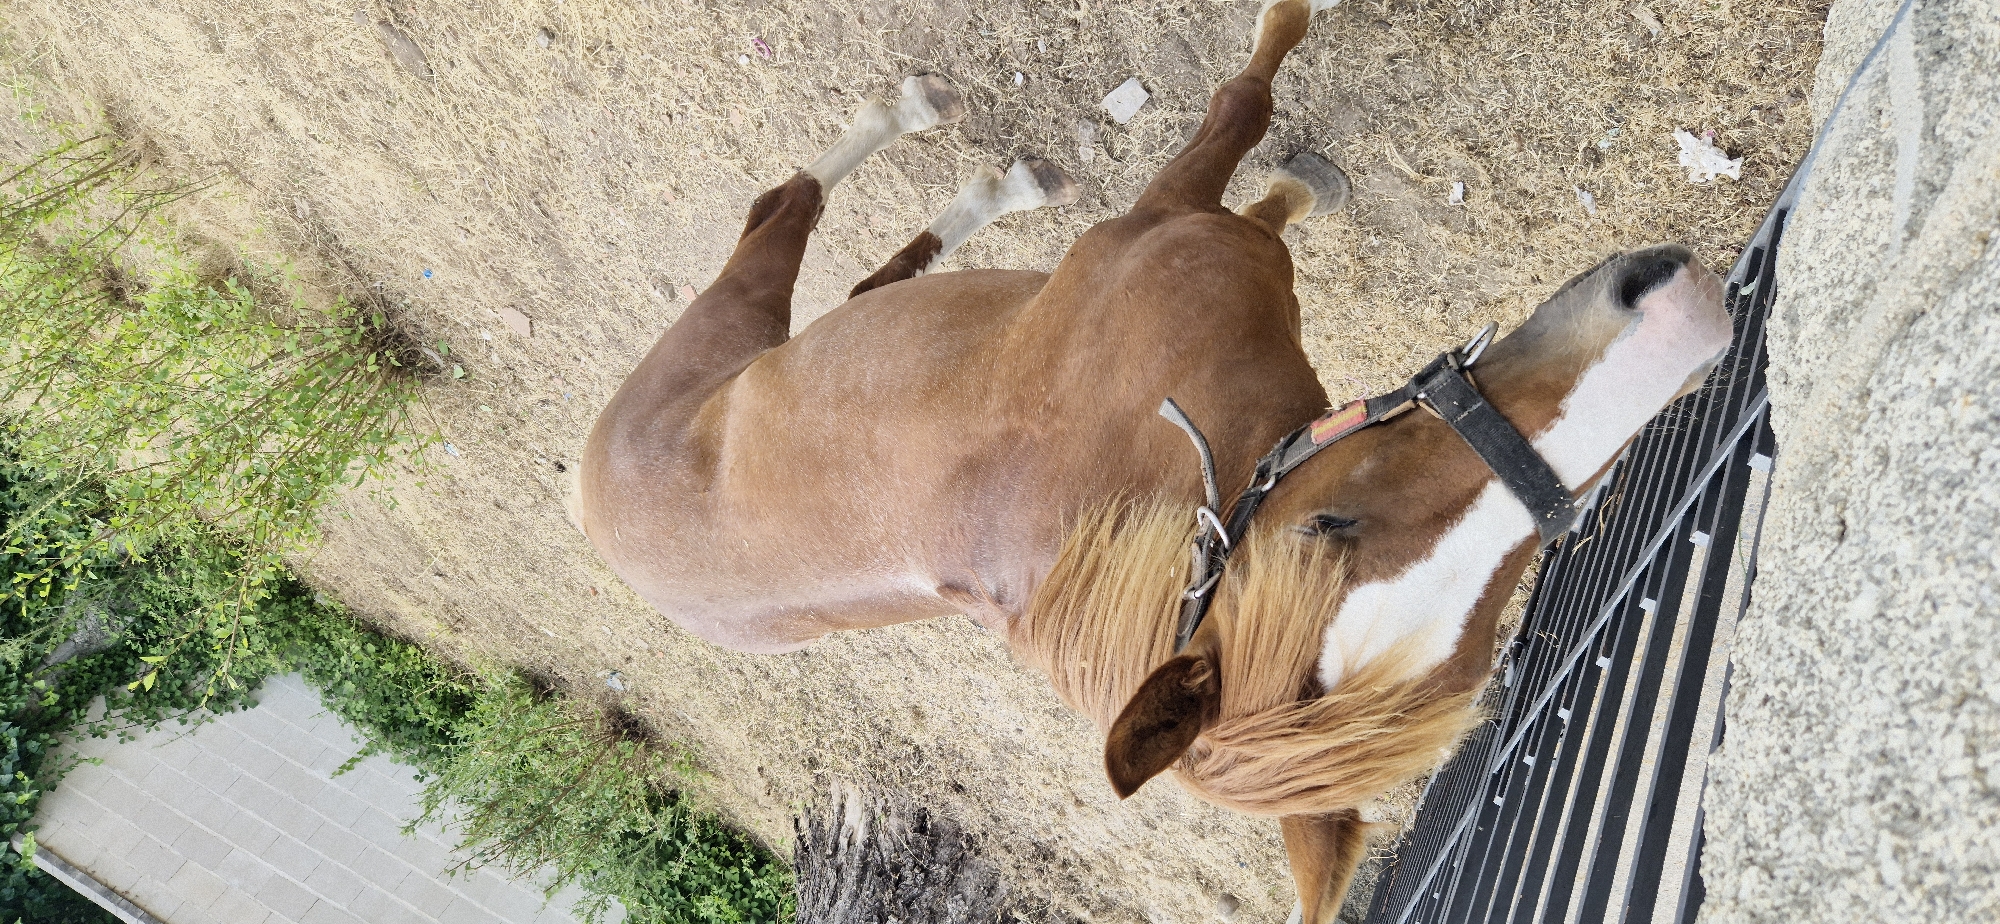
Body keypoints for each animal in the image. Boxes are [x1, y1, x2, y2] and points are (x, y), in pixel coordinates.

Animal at [575, 0, 1732, 918]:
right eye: (1329, 524)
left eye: (1484, 644)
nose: (1678, 330)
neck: (1143, 477)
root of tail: (598, 519)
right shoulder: (1173, 216)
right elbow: (1247, 101)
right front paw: (1300, 123)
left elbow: (1258, 173)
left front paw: (1298, 184)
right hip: (726, 320)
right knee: (782, 205)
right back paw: (917, 116)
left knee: (865, 278)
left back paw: (987, 179)